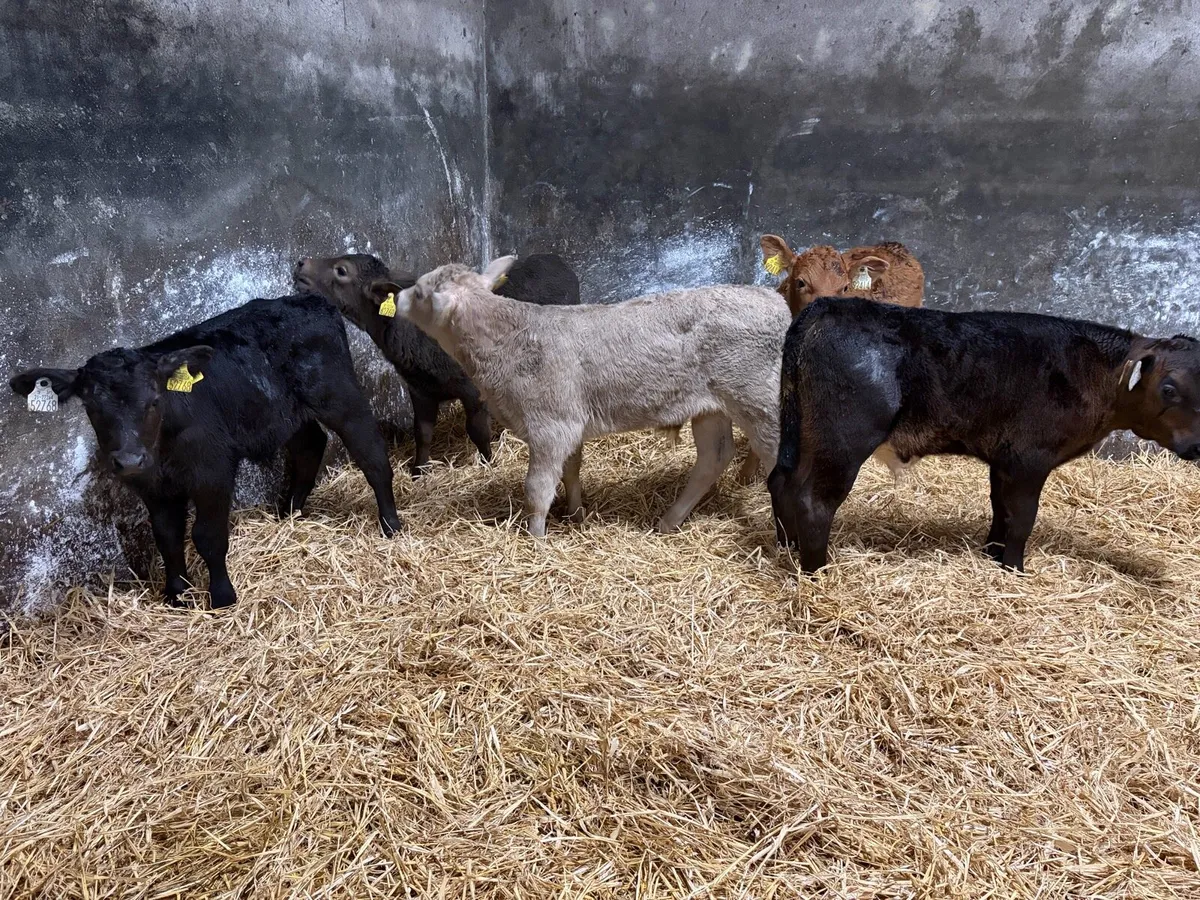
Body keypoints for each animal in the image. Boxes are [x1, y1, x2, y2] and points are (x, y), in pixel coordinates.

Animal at [9, 293, 403, 608]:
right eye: (91, 407)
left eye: (154, 401)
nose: (129, 460)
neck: (162, 450)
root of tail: (308, 300)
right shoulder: (154, 488)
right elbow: (167, 537)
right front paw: (177, 594)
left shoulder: (212, 471)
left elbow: (207, 535)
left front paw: (222, 597)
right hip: (284, 412)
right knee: (310, 446)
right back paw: (288, 513)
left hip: (338, 394)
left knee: (370, 452)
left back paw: (390, 525)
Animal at [293, 252, 580, 476]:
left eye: (342, 270)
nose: (300, 263)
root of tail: (555, 259)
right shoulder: (420, 389)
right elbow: (422, 432)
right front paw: (418, 471)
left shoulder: (472, 389)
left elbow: (477, 430)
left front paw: (487, 463)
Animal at [385, 257, 790, 536]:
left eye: (419, 293)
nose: (395, 296)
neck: (508, 338)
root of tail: (775, 302)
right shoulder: (568, 421)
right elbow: (571, 471)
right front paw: (575, 514)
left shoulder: (550, 424)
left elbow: (537, 489)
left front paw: (536, 538)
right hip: (710, 405)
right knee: (714, 456)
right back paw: (668, 522)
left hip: (757, 397)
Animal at [768, 296, 1200, 574]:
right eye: (1169, 389)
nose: (1197, 446)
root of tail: (830, 305)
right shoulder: (1029, 458)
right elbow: (1022, 517)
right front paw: (1015, 570)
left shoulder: (1004, 460)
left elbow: (1000, 509)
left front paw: (992, 554)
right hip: (842, 441)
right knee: (813, 499)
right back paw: (817, 571)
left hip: (804, 436)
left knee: (782, 481)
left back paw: (788, 546)